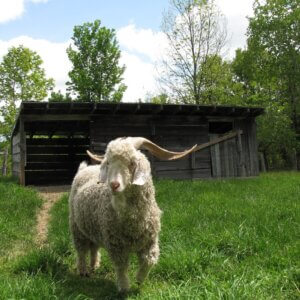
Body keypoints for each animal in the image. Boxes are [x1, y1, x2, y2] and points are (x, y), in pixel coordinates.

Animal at [68, 137, 197, 292]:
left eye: (132, 163)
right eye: (109, 163)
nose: (114, 185)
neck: (133, 223)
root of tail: (84, 169)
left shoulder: (150, 240)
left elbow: (149, 260)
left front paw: (139, 279)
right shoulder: (116, 244)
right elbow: (121, 267)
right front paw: (124, 287)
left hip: (93, 227)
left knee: (93, 247)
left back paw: (94, 265)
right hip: (76, 226)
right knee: (81, 250)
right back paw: (83, 270)